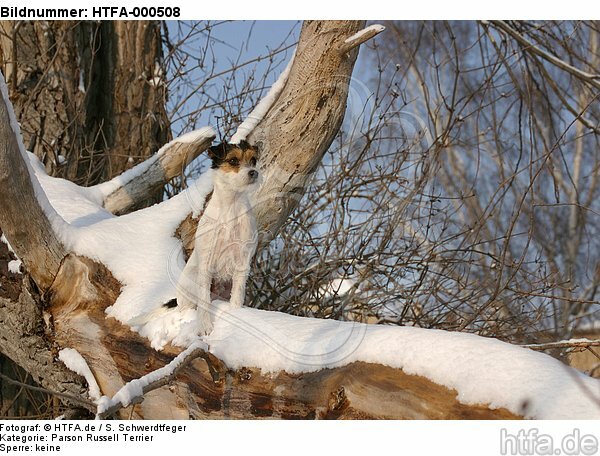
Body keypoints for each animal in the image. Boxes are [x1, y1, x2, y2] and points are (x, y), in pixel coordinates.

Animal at [171, 139, 260, 334]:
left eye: (254, 160)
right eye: (233, 160)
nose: (254, 173)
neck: (230, 206)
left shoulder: (242, 261)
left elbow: (237, 295)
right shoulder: (206, 263)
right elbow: (203, 301)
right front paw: (205, 327)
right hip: (191, 281)